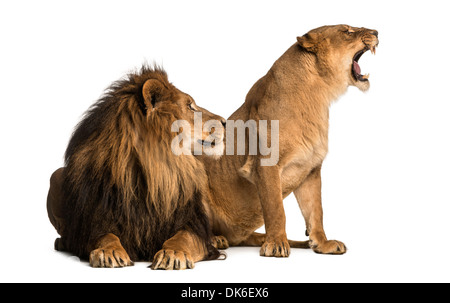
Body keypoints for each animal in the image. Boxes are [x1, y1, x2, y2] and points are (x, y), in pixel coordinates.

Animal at [47, 65, 227, 270]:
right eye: (190, 106)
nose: (225, 122)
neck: (155, 171)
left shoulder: (190, 220)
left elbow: (184, 238)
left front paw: (173, 253)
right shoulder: (93, 221)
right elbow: (105, 236)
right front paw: (109, 252)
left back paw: (218, 239)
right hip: (56, 176)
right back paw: (62, 242)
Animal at [199, 25, 378, 256]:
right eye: (347, 31)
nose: (377, 32)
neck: (317, 95)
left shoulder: (310, 169)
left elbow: (316, 211)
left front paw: (321, 243)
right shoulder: (265, 164)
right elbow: (276, 209)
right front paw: (276, 244)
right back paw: (216, 240)